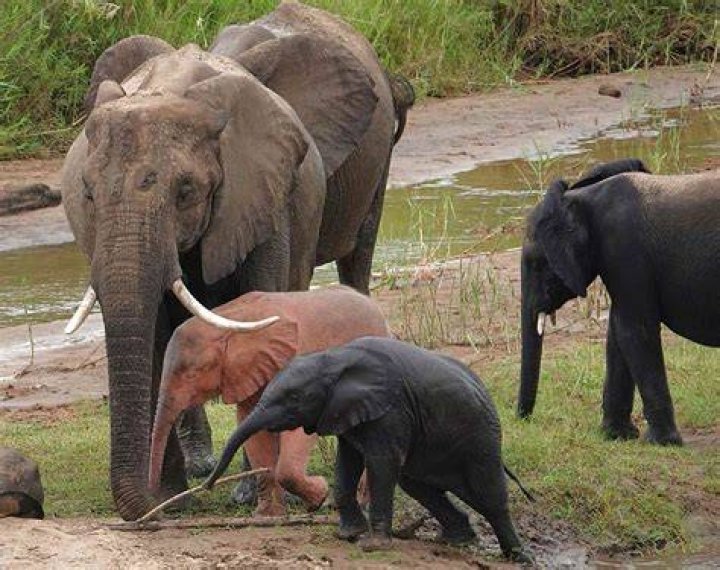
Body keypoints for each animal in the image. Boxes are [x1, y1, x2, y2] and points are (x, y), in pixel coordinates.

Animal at [148, 285, 390, 516]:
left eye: (192, 375)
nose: (155, 503)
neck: (230, 321)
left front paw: (319, 497)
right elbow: (253, 429)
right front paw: (267, 516)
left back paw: (361, 506)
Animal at [203, 337, 534, 564]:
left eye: (293, 398)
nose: (206, 486)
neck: (334, 358)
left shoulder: (392, 409)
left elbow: (381, 464)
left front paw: (373, 546)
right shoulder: (345, 413)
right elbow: (347, 464)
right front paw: (348, 535)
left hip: (480, 438)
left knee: (489, 495)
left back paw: (518, 557)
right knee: (417, 485)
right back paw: (456, 540)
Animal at [517, 159, 720, 445]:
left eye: (536, 264)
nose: (523, 420)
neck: (581, 199)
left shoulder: (624, 249)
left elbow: (633, 330)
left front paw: (661, 443)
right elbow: (617, 334)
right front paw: (617, 435)